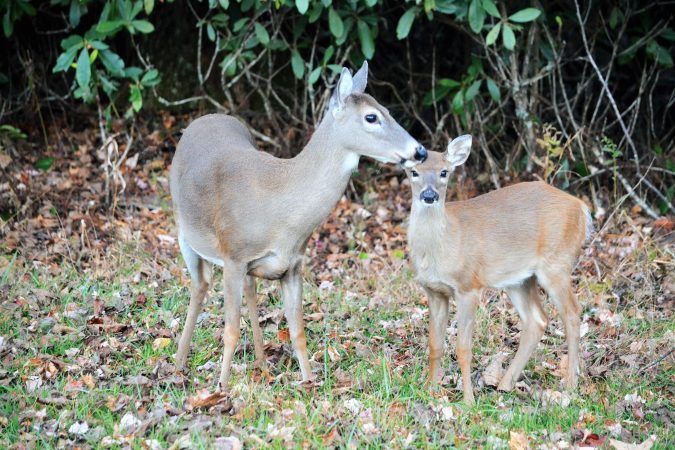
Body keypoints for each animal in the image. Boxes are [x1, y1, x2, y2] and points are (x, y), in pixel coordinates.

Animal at [169, 62, 428, 389]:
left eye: (387, 110)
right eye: (372, 117)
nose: (420, 151)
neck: (283, 214)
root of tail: (203, 118)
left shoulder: (292, 265)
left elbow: (298, 331)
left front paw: (309, 383)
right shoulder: (233, 255)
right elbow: (230, 330)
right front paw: (222, 388)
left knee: (249, 290)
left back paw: (262, 364)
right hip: (185, 231)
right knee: (200, 285)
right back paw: (179, 363)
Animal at [404, 135, 592, 404]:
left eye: (444, 172)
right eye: (414, 172)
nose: (429, 195)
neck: (442, 246)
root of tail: (582, 209)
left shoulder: (468, 286)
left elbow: (463, 347)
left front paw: (469, 401)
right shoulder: (434, 291)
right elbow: (435, 343)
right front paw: (429, 391)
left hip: (557, 263)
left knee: (572, 314)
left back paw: (570, 386)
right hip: (518, 279)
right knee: (537, 320)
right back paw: (505, 384)